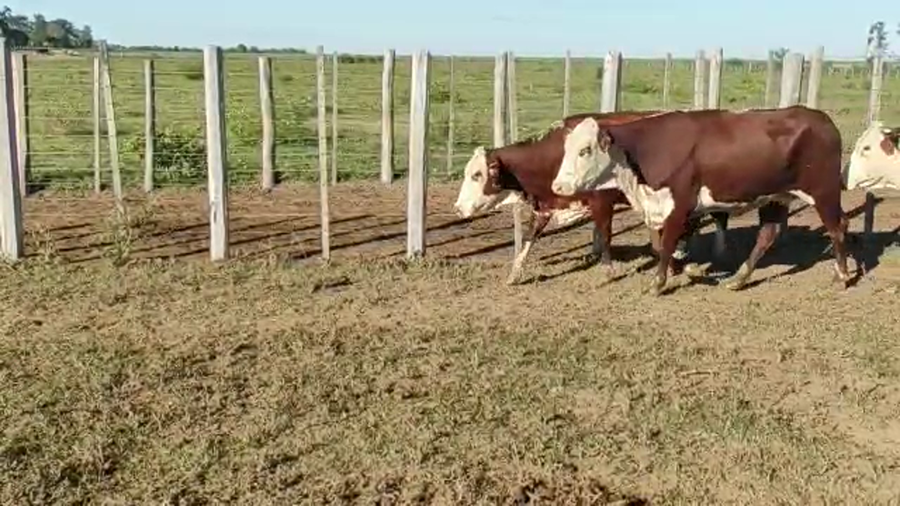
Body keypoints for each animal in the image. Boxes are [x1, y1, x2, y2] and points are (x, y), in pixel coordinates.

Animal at [452, 111, 730, 285]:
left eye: (477, 175)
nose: (457, 208)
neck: (555, 157)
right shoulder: (546, 206)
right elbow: (529, 239)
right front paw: (514, 274)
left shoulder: (602, 202)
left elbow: (605, 235)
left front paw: (608, 270)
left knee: (708, 219)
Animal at [550, 105, 855, 295]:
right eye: (566, 149)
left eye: (585, 150)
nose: (559, 186)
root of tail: (822, 119)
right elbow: (663, 245)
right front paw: (688, 269)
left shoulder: (679, 204)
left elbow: (667, 244)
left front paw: (658, 283)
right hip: (776, 197)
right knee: (768, 234)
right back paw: (739, 278)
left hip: (823, 191)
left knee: (838, 227)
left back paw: (841, 276)